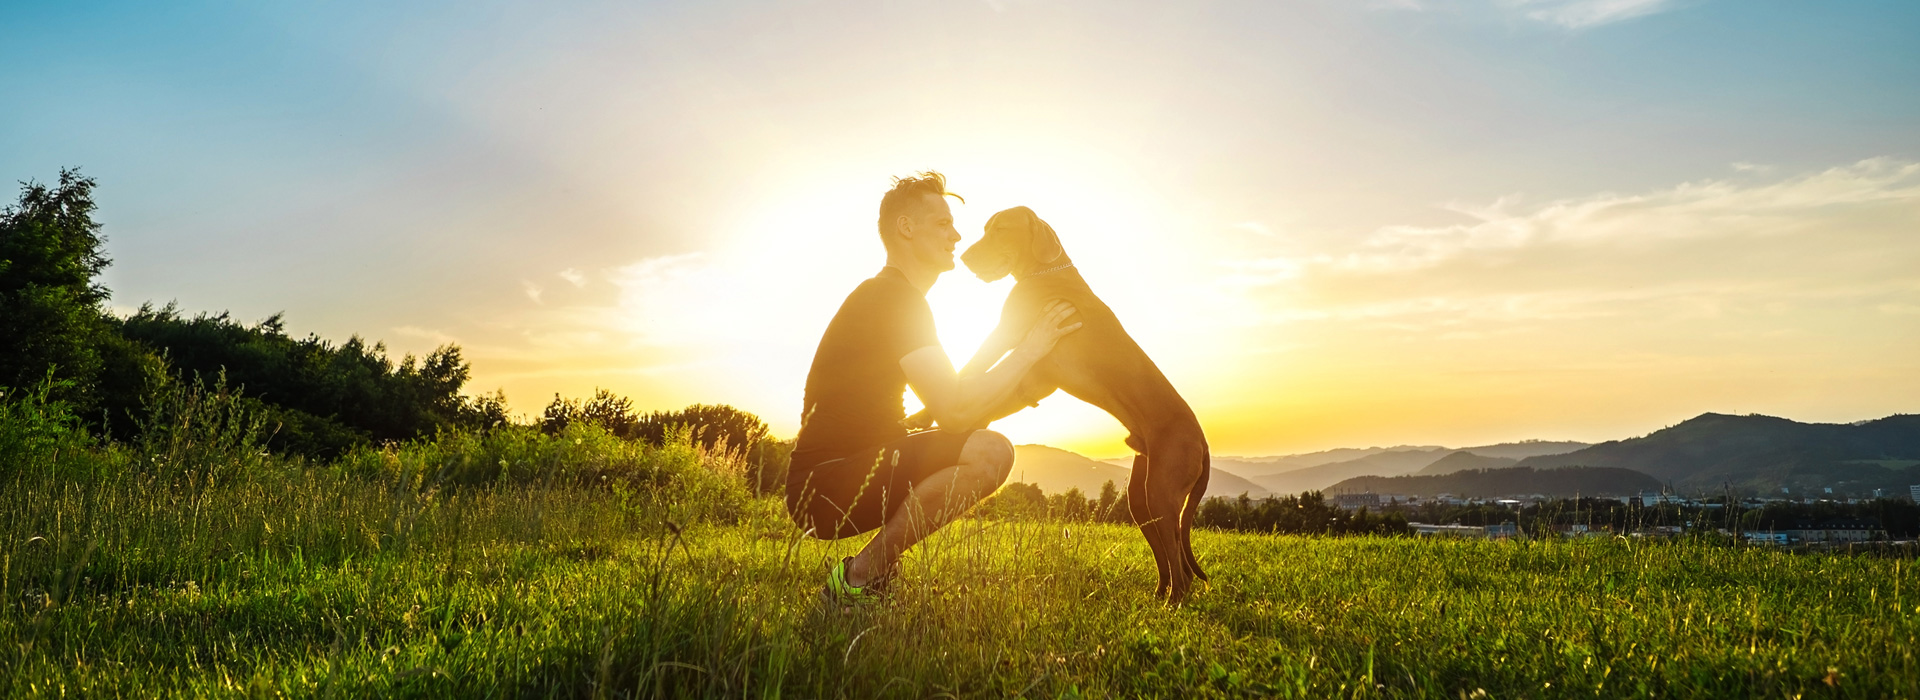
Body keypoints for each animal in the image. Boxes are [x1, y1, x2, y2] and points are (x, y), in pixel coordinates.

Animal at [948, 206, 1213, 598]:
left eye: (1000, 230)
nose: (964, 258)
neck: (1045, 270)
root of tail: (1203, 440)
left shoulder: (1007, 339)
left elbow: (969, 370)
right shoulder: (1035, 376)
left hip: (1162, 493)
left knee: (1181, 572)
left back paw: (1171, 603)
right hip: (1141, 498)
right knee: (1171, 561)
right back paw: (1157, 599)